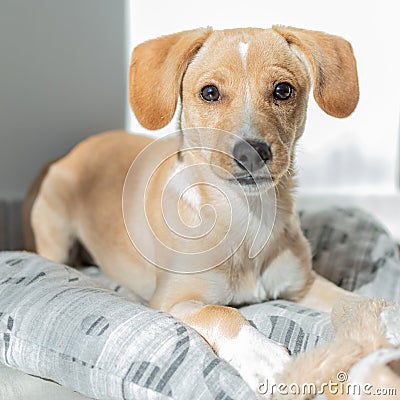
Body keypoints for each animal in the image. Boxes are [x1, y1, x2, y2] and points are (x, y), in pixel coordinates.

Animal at [23, 26, 364, 396]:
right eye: (210, 93)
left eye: (283, 90)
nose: (251, 152)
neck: (246, 220)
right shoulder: (173, 301)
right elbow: (223, 313)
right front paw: (263, 356)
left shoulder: (304, 284)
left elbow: (352, 303)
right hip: (55, 234)